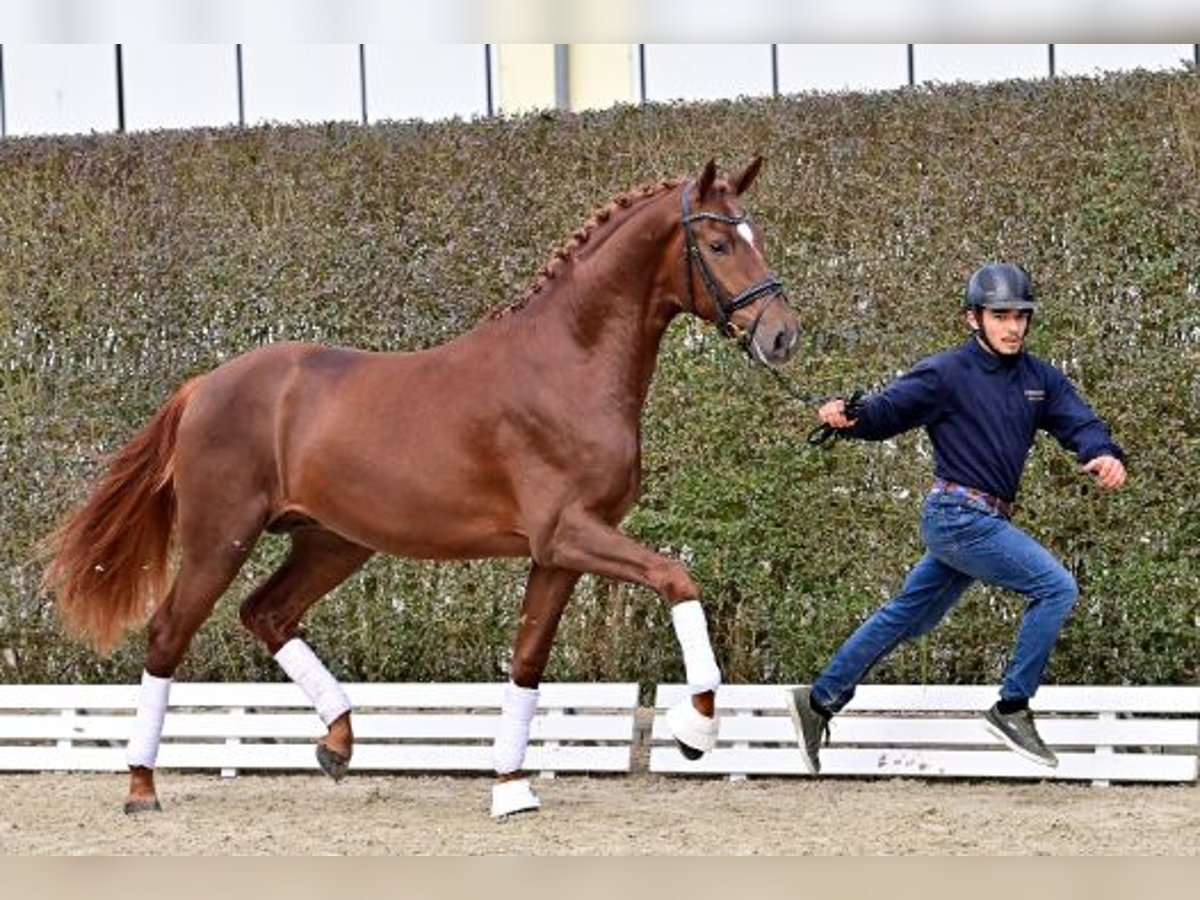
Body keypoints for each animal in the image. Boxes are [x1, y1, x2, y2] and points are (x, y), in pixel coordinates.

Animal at [42, 154, 801, 816]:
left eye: (756, 235)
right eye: (717, 243)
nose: (782, 336)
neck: (568, 362)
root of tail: (204, 385)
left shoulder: (557, 554)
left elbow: (527, 660)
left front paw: (511, 789)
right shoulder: (572, 532)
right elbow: (677, 578)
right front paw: (695, 730)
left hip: (333, 543)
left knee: (267, 613)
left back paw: (338, 742)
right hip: (219, 537)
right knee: (169, 633)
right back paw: (142, 786)